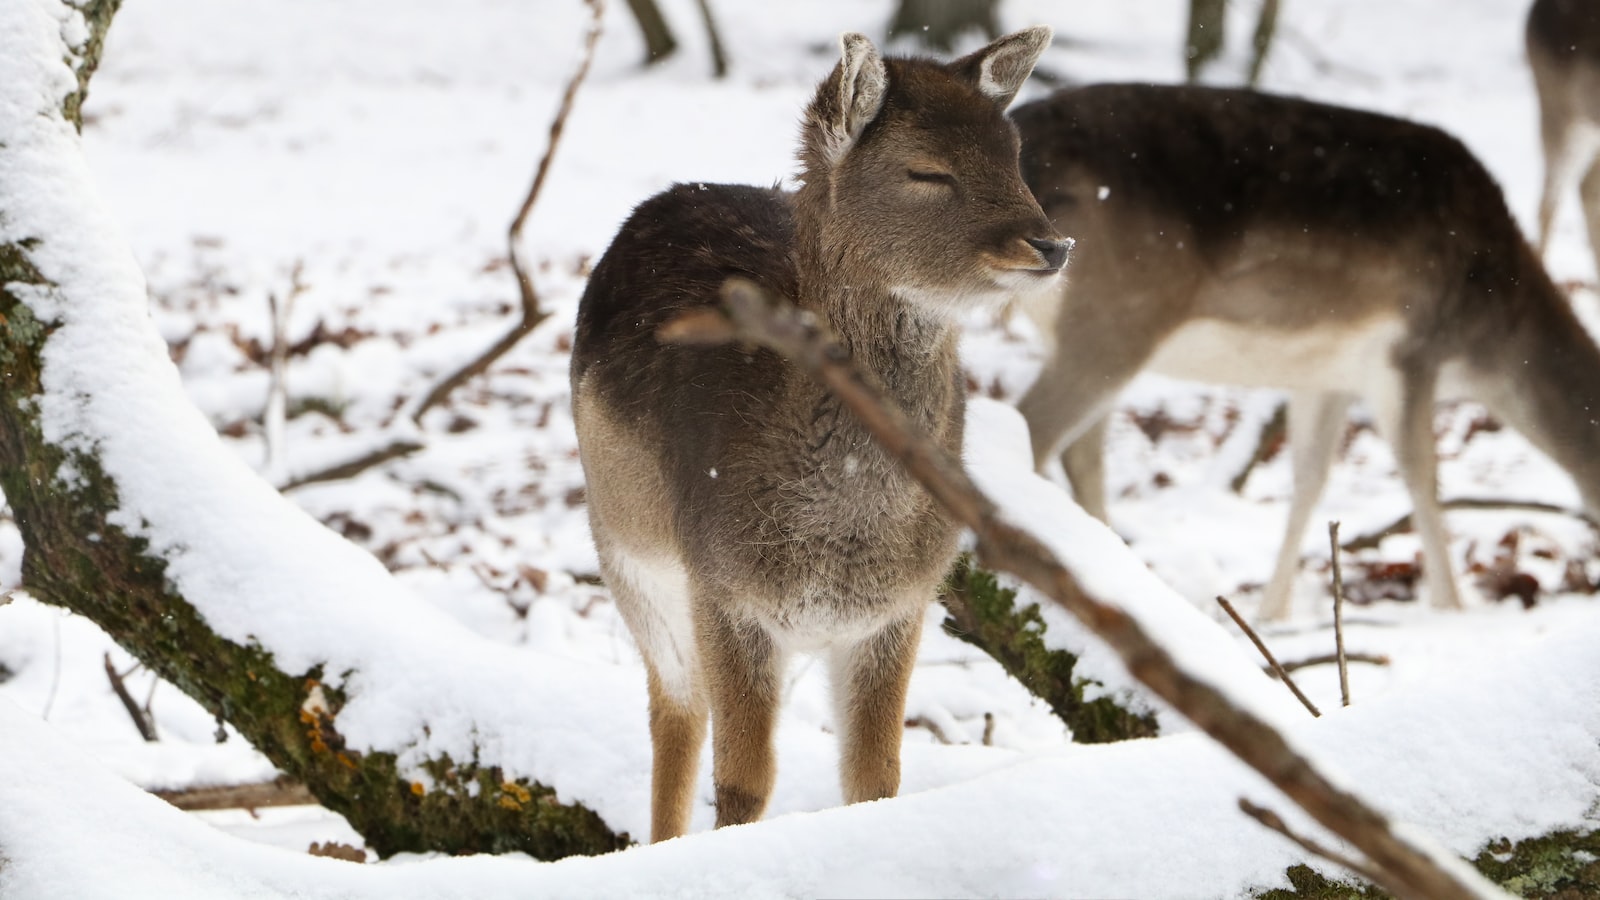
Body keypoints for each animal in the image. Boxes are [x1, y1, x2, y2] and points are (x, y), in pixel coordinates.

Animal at [569, 28, 1068, 839]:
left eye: (1014, 154)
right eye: (927, 170)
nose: (1051, 245)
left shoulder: (899, 607)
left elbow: (875, 775)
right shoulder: (723, 591)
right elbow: (743, 781)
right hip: (626, 551)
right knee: (674, 708)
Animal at [1011, 82, 1600, 614]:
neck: (1489, 338)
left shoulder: (1329, 377)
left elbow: (1311, 480)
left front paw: (1272, 614)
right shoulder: (1411, 352)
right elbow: (1422, 477)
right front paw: (1453, 610)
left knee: (1081, 452)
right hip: (1115, 319)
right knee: (1032, 426)